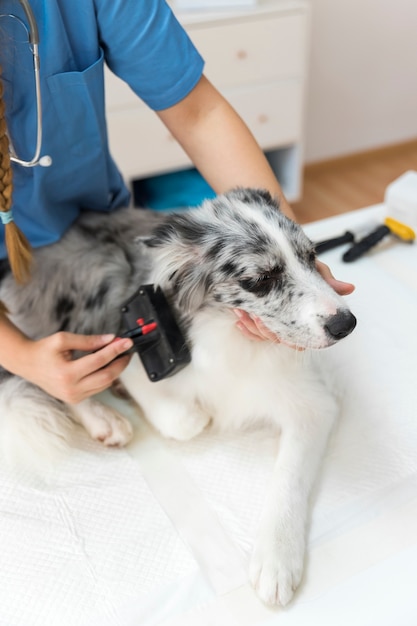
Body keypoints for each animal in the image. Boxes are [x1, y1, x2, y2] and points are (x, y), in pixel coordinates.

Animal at [0, 188, 354, 604]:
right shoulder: (131, 350)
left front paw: (276, 558)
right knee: (55, 372)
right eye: (260, 279)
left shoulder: (313, 404)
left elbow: (289, 479)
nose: (346, 323)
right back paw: (105, 419)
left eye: (311, 256)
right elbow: (185, 419)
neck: (228, 334)